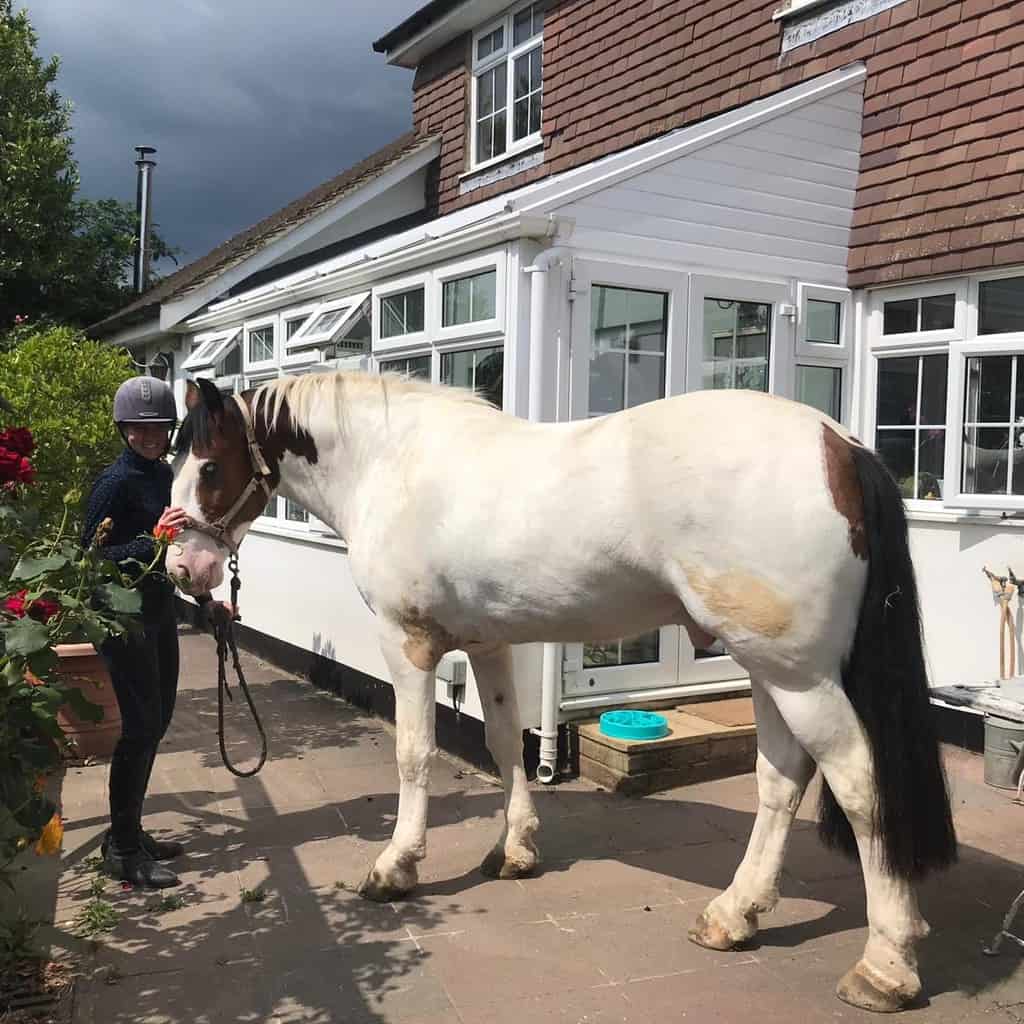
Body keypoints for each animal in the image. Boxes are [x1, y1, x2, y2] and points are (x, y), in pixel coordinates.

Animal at [167, 372, 956, 1013]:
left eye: (208, 465)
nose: (180, 567)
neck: (392, 461)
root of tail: (839, 444)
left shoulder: (408, 644)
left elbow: (416, 754)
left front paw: (396, 867)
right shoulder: (487, 644)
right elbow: (500, 743)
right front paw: (513, 851)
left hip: (799, 675)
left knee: (857, 782)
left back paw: (885, 966)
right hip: (773, 668)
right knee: (781, 780)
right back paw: (734, 915)